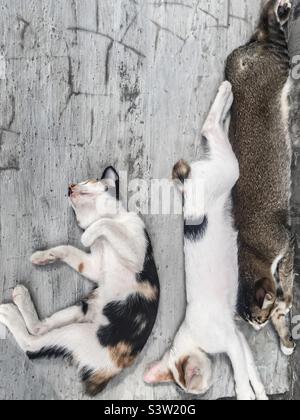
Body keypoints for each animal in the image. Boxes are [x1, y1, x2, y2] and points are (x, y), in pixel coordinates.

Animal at [0, 168, 159, 398]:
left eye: (87, 181)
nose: (70, 187)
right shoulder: (93, 266)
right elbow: (69, 250)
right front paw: (43, 256)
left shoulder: (136, 253)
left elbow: (104, 224)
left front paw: (86, 235)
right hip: (82, 310)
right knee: (40, 328)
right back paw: (20, 298)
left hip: (78, 334)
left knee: (32, 344)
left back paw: (10, 310)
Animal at [144, 81, 268, 400]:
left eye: (193, 379)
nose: (204, 390)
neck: (192, 336)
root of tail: (186, 185)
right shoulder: (237, 336)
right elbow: (251, 369)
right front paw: (261, 393)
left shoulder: (229, 341)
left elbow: (241, 374)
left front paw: (246, 395)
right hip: (221, 169)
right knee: (215, 133)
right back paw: (228, 106)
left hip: (227, 171)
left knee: (208, 128)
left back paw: (226, 93)